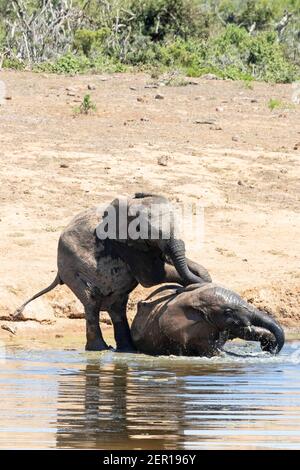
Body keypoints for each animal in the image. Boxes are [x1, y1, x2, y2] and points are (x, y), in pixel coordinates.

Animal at [14, 193, 211, 350]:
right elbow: (152, 276)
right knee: (92, 302)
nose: (179, 290)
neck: (134, 203)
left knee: (117, 307)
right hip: (72, 270)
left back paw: (127, 350)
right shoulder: (122, 243)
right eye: (153, 232)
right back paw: (100, 349)